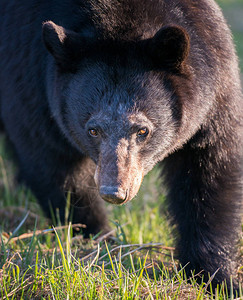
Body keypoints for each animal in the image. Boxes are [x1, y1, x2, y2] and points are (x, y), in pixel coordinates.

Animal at [0, 0, 242, 292]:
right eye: (92, 129)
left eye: (143, 130)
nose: (114, 191)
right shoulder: (28, 73)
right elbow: (52, 162)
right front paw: (99, 238)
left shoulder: (214, 79)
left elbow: (210, 169)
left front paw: (217, 277)